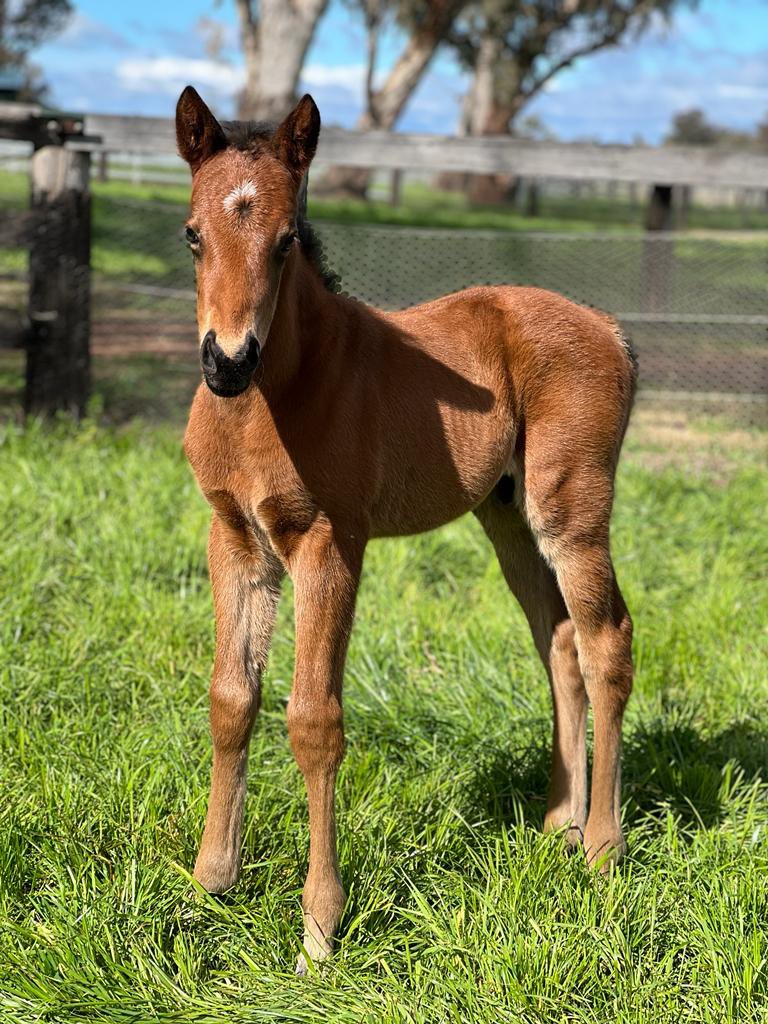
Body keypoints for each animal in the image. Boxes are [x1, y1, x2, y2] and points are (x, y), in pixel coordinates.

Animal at [175, 85, 637, 972]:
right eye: (191, 233)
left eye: (287, 240)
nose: (227, 362)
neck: (277, 396)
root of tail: (610, 326)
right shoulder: (235, 537)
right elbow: (231, 695)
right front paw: (210, 882)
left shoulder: (330, 545)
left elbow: (314, 720)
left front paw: (318, 930)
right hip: (505, 514)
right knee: (558, 640)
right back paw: (558, 825)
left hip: (570, 507)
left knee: (607, 642)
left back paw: (602, 847)